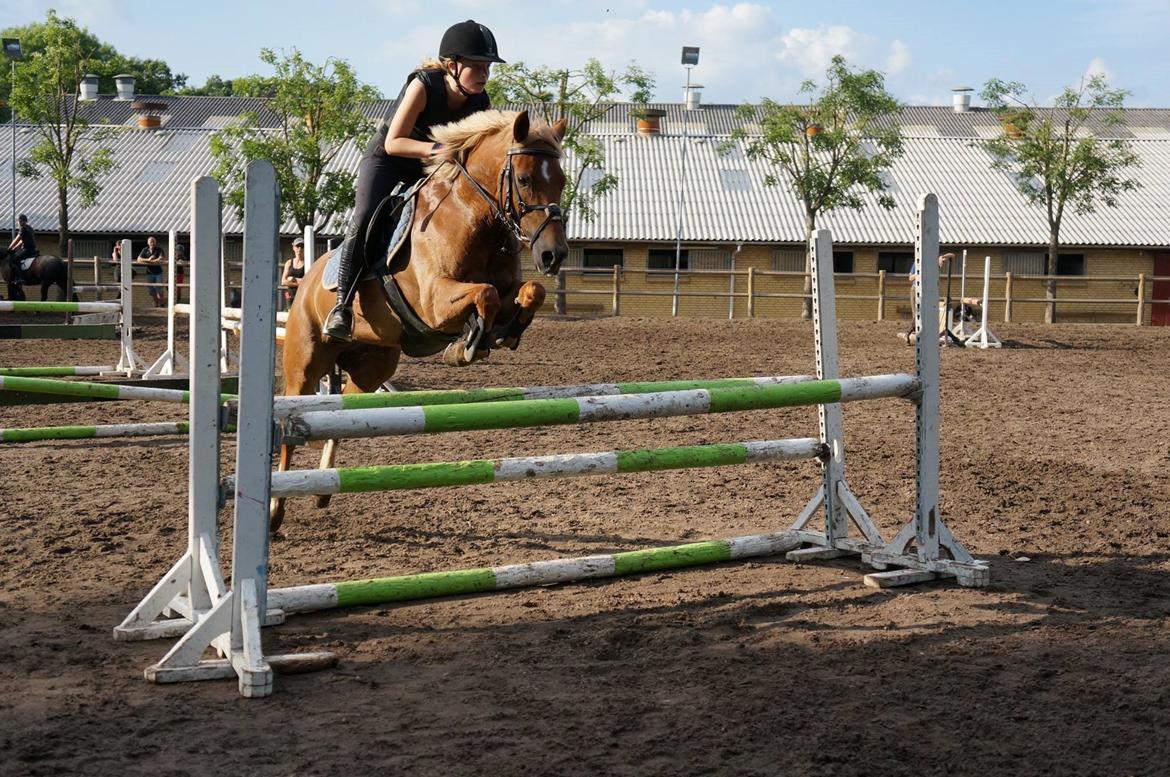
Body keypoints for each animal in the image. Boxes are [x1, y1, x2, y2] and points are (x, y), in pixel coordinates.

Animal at [270, 109, 569, 531]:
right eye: (525, 179)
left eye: (561, 181)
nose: (552, 255)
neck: (471, 215)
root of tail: (308, 279)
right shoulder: (433, 301)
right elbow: (485, 294)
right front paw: (468, 345)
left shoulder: (508, 286)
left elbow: (531, 292)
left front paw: (502, 333)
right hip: (305, 363)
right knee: (290, 424)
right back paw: (275, 508)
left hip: (372, 368)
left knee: (341, 414)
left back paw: (323, 488)